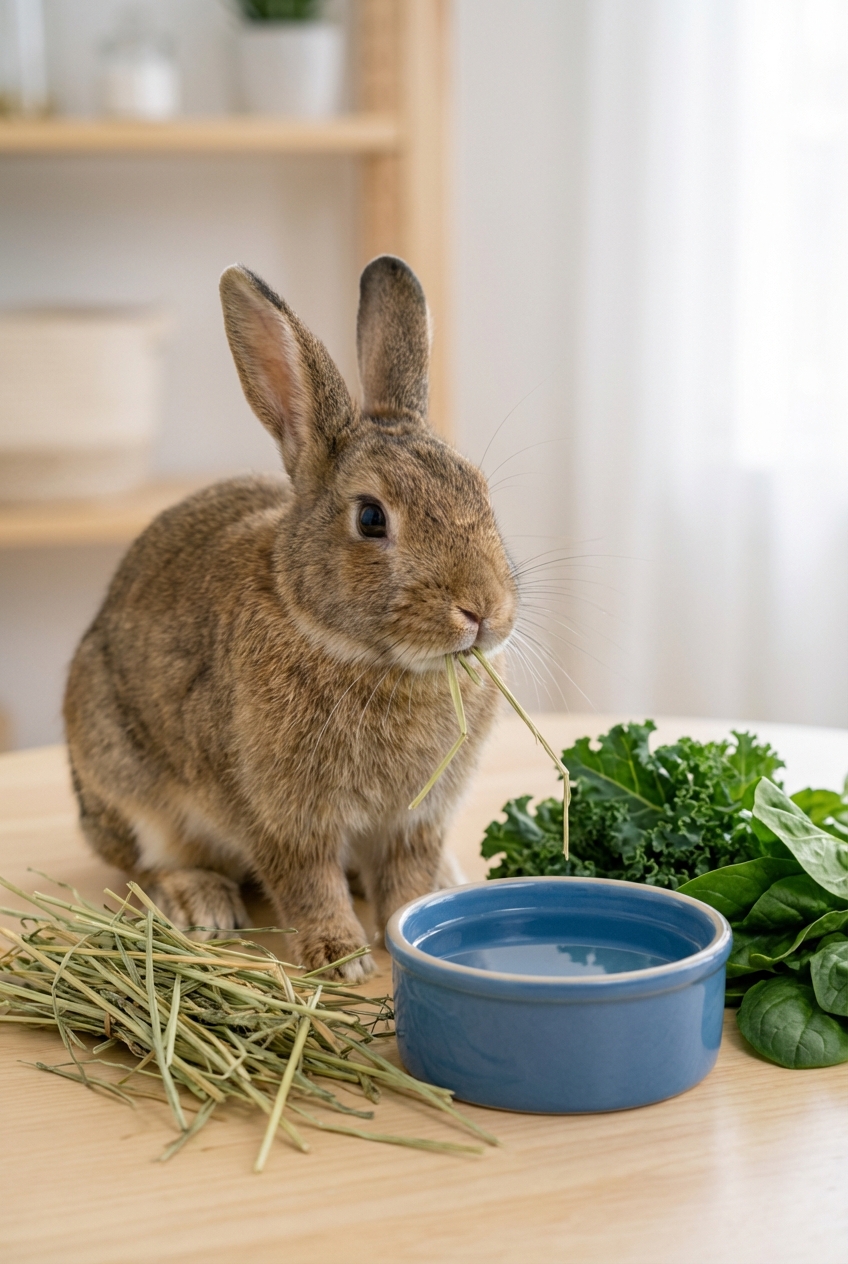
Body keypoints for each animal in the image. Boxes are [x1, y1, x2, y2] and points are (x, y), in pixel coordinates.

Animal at [63, 255, 518, 981]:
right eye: (371, 518)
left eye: (478, 491)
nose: (484, 610)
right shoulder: (280, 816)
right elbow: (306, 881)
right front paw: (341, 956)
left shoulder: (417, 819)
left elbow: (408, 877)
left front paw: (404, 926)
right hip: (124, 780)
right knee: (150, 862)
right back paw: (204, 903)